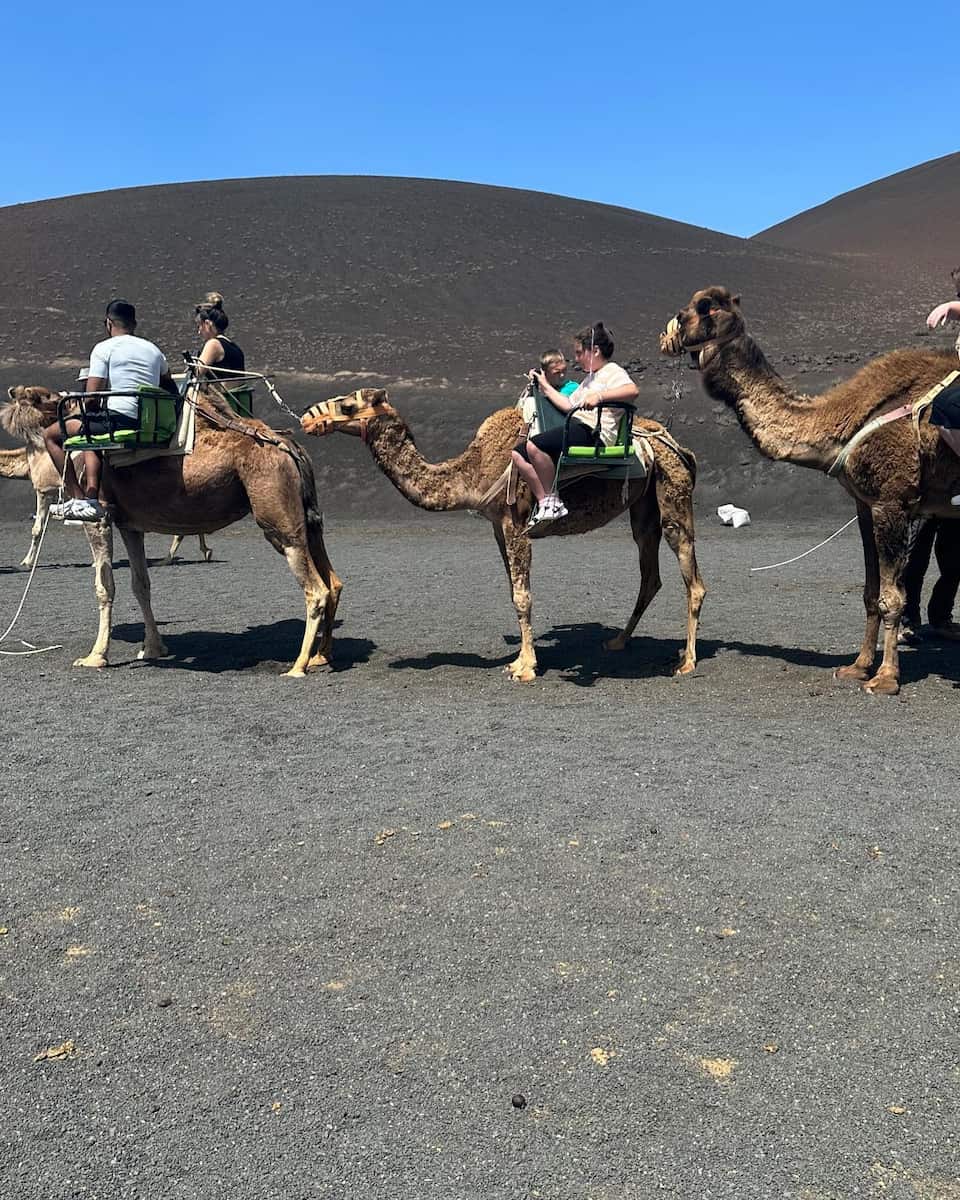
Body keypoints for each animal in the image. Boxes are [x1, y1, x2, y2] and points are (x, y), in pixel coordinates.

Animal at [1, 386, 341, 675]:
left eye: (33, 396)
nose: (12, 392)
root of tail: (290, 447)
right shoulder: (130, 524)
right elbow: (141, 584)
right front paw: (153, 648)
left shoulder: (99, 518)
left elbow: (104, 586)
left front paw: (95, 656)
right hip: (307, 520)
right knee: (333, 582)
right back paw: (322, 655)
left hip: (277, 516)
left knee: (315, 588)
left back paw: (298, 665)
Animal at [300, 389, 704, 681]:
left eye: (348, 405)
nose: (306, 416)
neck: (473, 471)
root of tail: (680, 447)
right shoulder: (497, 526)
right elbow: (513, 593)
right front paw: (519, 658)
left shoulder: (516, 523)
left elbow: (523, 597)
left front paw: (525, 668)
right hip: (643, 507)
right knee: (649, 574)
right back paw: (618, 641)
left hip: (673, 494)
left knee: (693, 578)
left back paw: (686, 662)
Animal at [660, 285, 960, 694]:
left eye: (699, 309)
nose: (666, 336)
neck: (845, 423)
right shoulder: (865, 504)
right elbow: (870, 592)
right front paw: (857, 667)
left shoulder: (892, 500)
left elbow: (891, 596)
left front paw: (884, 678)